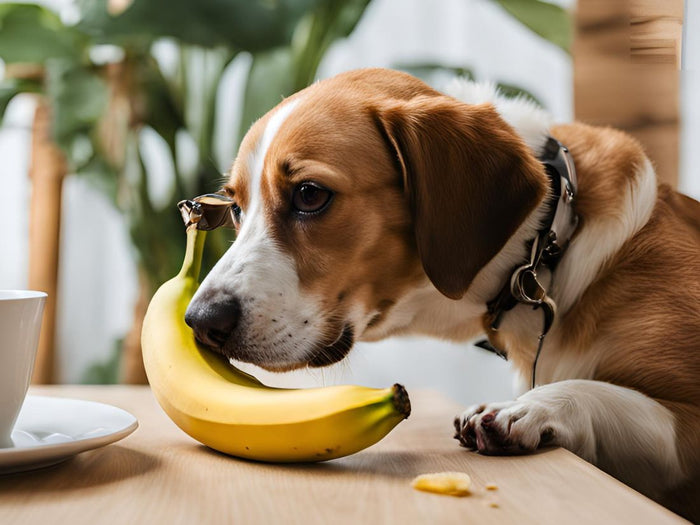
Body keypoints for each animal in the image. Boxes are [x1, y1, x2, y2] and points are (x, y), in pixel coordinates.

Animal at [185, 67, 700, 516]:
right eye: (236, 207)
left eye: (310, 194)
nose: (200, 321)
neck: (546, 252)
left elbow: (604, 394)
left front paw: (530, 408)